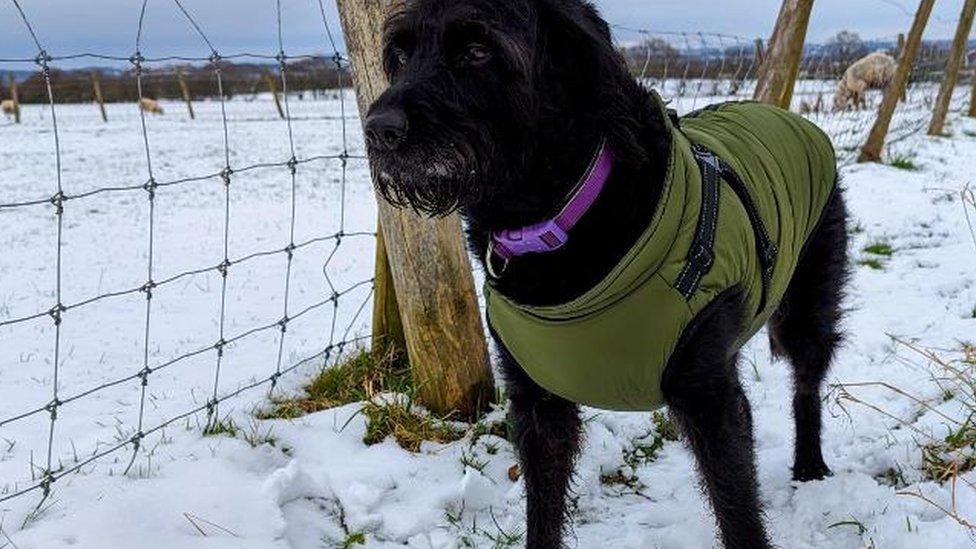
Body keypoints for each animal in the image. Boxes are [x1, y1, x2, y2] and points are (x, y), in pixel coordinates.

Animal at [362, 2, 852, 544]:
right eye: (399, 55)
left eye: (476, 50)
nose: (379, 129)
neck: (558, 220)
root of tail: (787, 114)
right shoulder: (537, 402)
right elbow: (543, 508)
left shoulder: (710, 395)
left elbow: (738, 512)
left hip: (806, 306)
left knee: (806, 382)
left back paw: (809, 466)